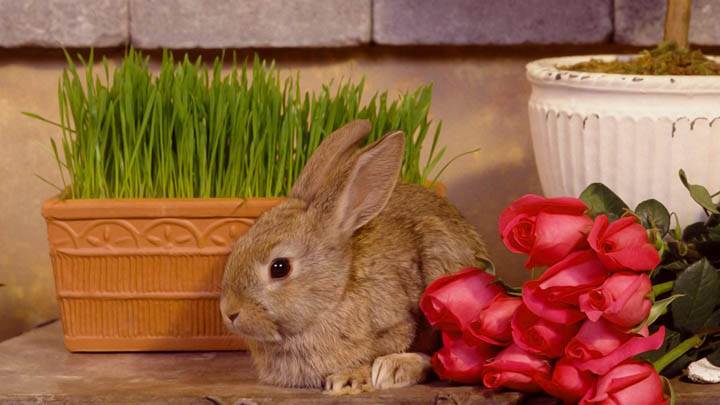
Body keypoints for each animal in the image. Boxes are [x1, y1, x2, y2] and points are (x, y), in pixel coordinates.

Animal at [220, 119, 490, 394]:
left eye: (279, 267)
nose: (229, 312)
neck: (334, 296)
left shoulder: (398, 322)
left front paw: (349, 379)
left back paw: (393, 369)